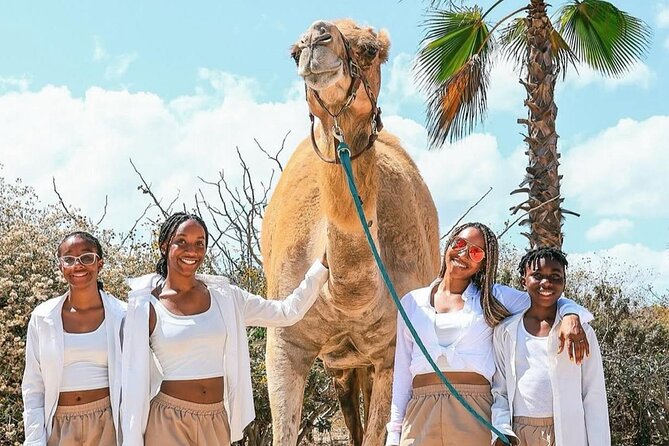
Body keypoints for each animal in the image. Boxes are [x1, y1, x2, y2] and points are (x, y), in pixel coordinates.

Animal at [260, 19, 440, 446]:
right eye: (294, 52)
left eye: (370, 49)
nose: (316, 39)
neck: (346, 297)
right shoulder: (284, 344)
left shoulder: (392, 350)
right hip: (341, 365)